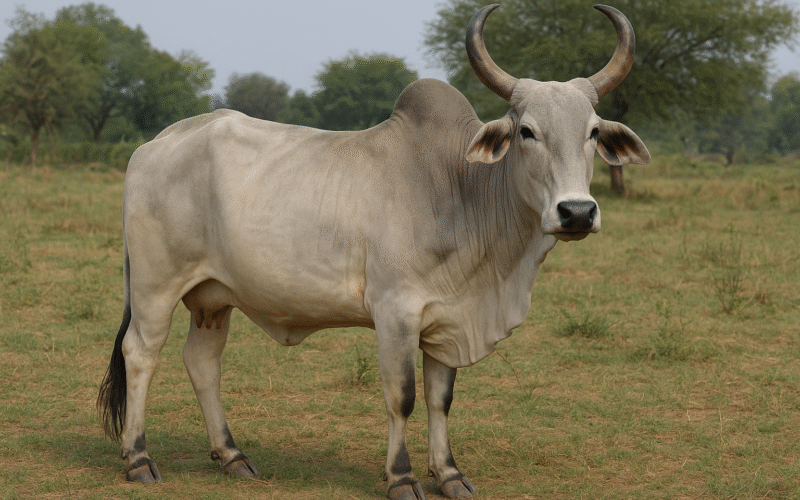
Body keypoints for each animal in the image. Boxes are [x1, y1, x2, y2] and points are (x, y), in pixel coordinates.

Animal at [97, 4, 650, 499]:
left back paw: (231, 455)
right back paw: (138, 459)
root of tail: (153, 145)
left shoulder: (446, 318)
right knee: (140, 354)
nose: (576, 212)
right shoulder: (395, 312)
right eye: (526, 131)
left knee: (202, 361)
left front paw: (449, 474)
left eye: (593, 132)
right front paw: (401, 478)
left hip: (213, 297)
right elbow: (401, 396)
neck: (463, 190)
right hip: (154, 287)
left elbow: (440, 399)